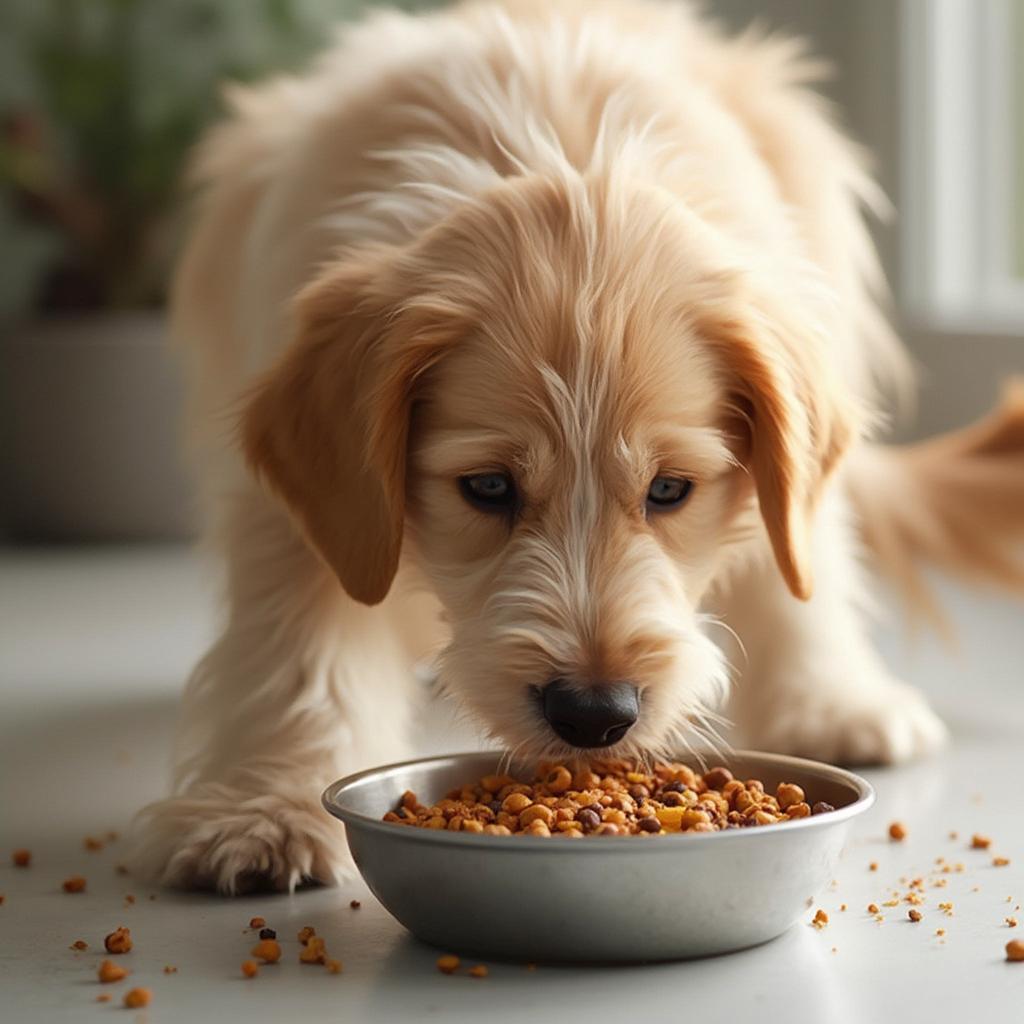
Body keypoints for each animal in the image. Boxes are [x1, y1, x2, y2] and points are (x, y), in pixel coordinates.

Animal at [134, 0, 1024, 892]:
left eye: (669, 490)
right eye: (489, 487)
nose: (594, 716)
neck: (563, 154)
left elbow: (791, 564)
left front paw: (827, 699)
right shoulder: (312, 502)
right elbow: (298, 643)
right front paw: (265, 812)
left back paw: (835, 700)